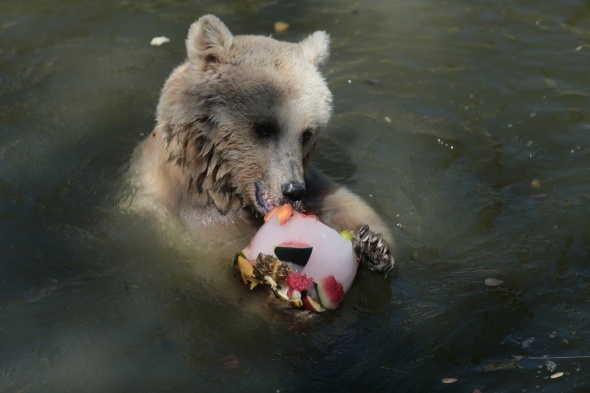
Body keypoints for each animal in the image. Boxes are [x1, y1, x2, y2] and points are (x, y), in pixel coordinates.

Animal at [132, 14, 396, 272]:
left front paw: (373, 244)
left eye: (306, 134)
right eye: (265, 128)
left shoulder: (313, 185)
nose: (293, 191)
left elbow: (346, 204)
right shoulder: (197, 217)